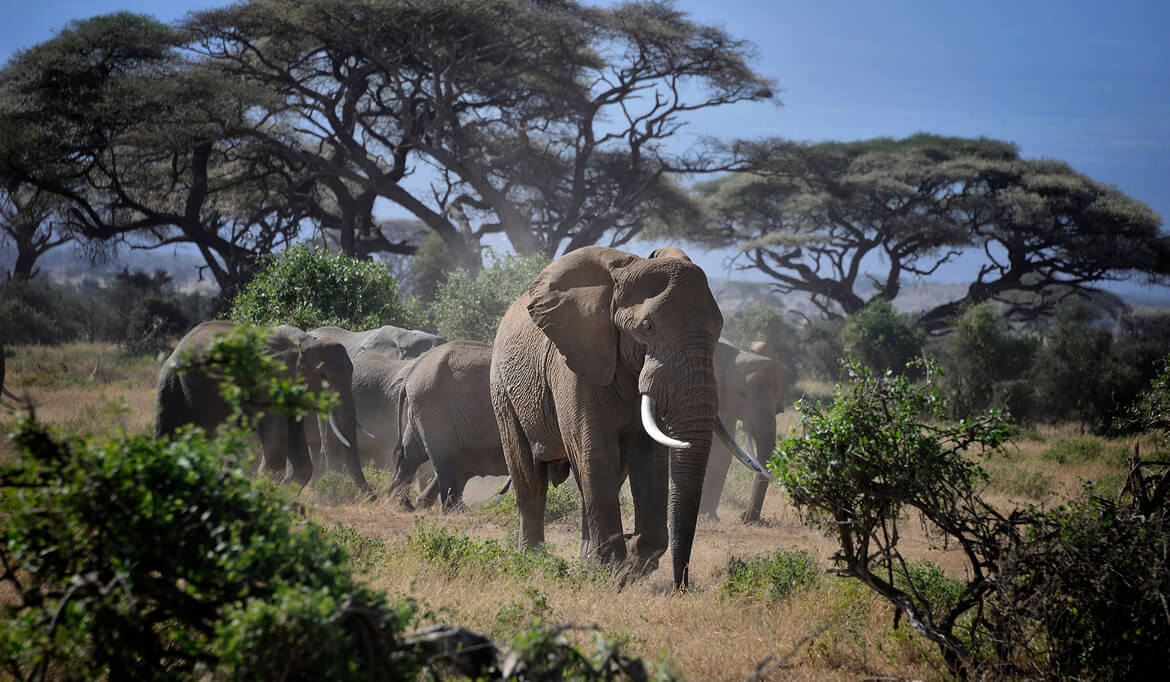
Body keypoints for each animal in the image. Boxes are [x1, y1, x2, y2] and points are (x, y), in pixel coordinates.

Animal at [154, 322, 365, 493]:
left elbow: (299, 454)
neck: (303, 342)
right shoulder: (269, 383)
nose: (371, 497)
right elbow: (277, 446)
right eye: (321, 375)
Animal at [486, 246, 767, 591]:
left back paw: (587, 561)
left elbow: (650, 460)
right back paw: (533, 560)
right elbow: (595, 451)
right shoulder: (576, 361)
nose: (682, 585)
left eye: (719, 330)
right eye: (647, 327)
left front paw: (629, 566)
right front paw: (614, 568)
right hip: (503, 388)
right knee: (529, 475)